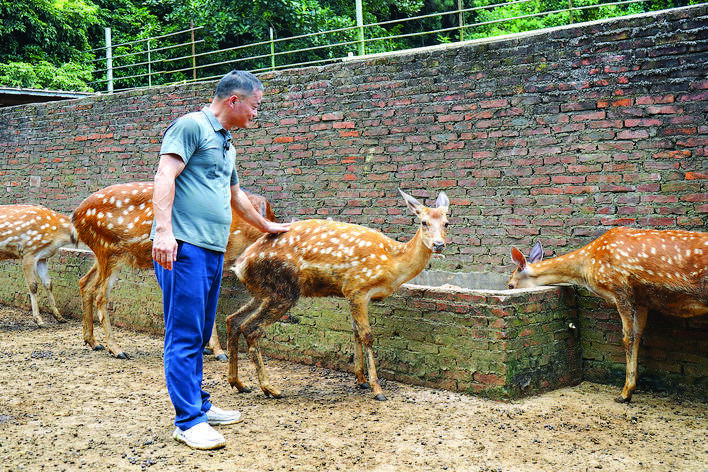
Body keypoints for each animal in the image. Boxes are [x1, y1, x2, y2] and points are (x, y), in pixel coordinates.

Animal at [71, 181, 275, 360]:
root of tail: (75, 216)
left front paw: (207, 348)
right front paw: (218, 352)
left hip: (106, 254)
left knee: (85, 282)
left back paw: (93, 342)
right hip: (108, 249)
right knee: (100, 295)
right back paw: (116, 349)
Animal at [225, 188, 450, 401]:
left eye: (447, 223)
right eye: (424, 222)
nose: (439, 244)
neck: (392, 263)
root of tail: (241, 264)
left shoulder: (350, 293)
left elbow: (355, 332)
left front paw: (361, 380)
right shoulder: (358, 288)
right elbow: (367, 336)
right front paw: (377, 389)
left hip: (263, 292)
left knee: (233, 320)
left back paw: (239, 383)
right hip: (283, 289)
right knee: (251, 328)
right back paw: (270, 388)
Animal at [508, 226, 708, 403]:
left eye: (510, 285)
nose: (507, 288)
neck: (586, 267)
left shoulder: (620, 288)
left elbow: (627, 338)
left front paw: (625, 393)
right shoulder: (642, 300)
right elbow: (638, 336)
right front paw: (630, 389)